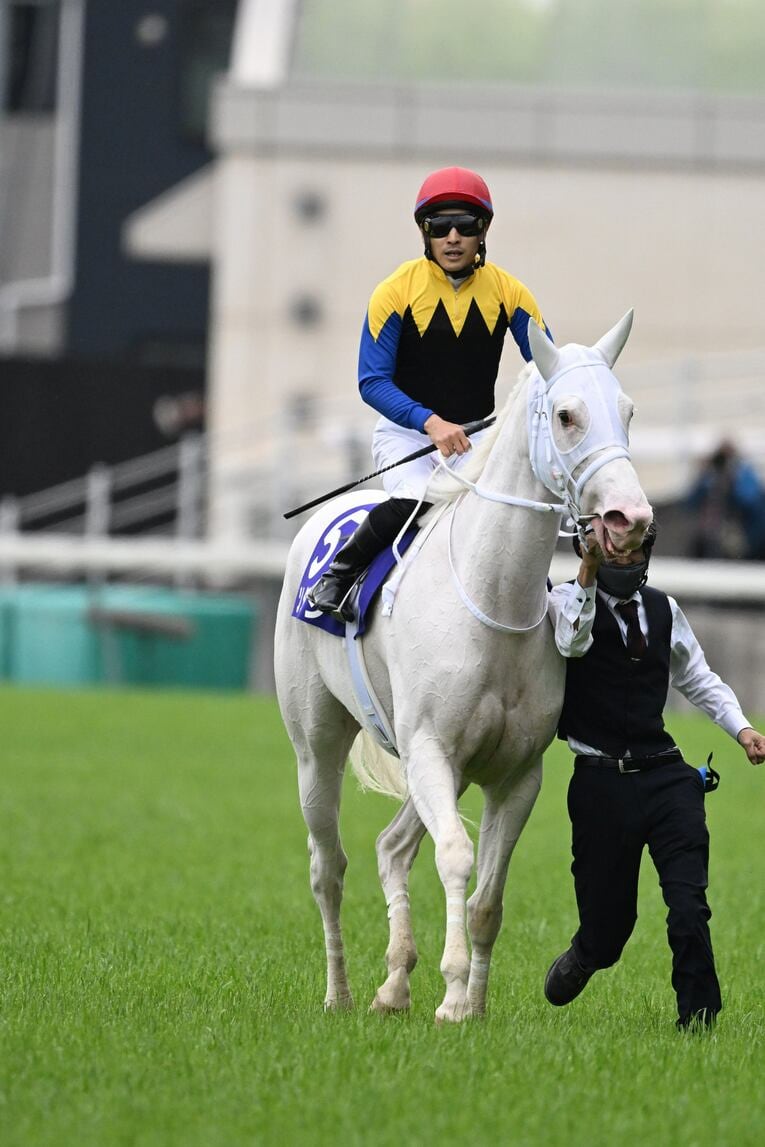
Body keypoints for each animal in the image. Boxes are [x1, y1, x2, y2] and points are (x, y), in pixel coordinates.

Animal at [274, 313, 653, 1023]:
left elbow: (488, 898)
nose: (630, 519)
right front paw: (451, 996)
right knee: (327, 867)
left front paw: (471, 1005)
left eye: (629, 410)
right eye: (567, 414)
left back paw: (393, 986)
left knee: (390, 849)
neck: (491, 599)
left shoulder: (515, 773)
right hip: (316, 746)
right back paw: (340, 993)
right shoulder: (431, 749)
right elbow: (455, 857)